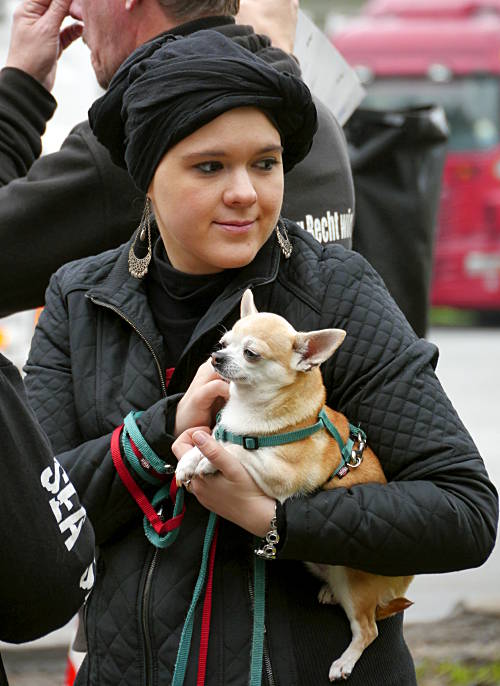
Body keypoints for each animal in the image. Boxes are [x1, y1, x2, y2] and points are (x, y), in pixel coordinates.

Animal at [176, 289, 413, 681]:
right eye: (223, 343)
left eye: (251, 353)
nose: (216, 357)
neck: (252, 412)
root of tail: (400, 582)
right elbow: (213, 437)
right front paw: (190, 459)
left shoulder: (281, 476)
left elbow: (239, 451)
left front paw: (210, 459)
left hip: (353, 579)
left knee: (368, 629)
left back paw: (344, 662)